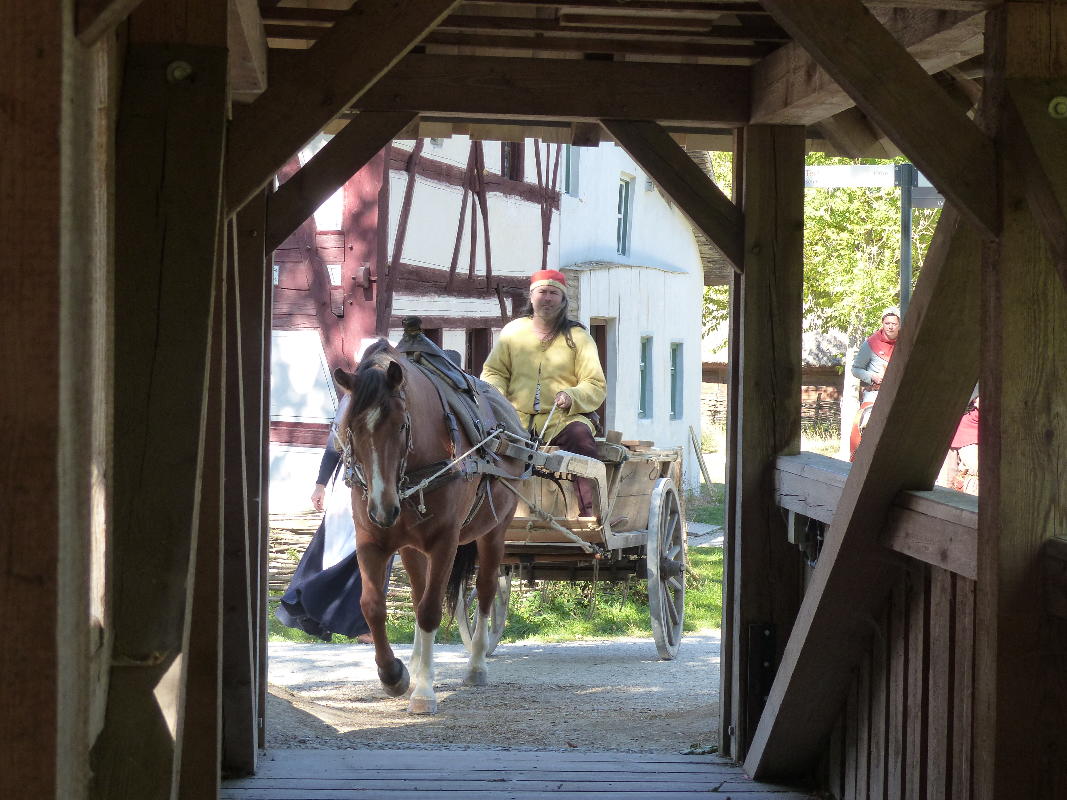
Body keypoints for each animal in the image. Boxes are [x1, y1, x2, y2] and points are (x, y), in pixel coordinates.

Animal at [332, 339, 524, 714]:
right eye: (352, 429)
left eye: (400, 426)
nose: (383, 507)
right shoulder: (371, 540)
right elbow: (373, 606)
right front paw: (393, 674)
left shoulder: (444, 541)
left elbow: (431, 610)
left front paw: (423, 692)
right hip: (410, 547)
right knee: (418, 594)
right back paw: (418, 663)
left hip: (494, 532)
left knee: (484, 590)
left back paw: (476, 665)